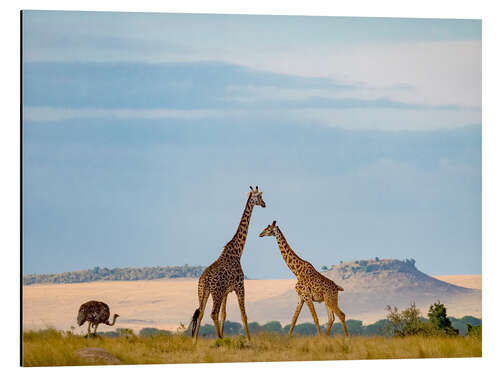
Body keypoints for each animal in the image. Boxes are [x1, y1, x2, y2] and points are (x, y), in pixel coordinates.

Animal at [190, 187, 266, 342]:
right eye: (260, 196)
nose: (264, 204)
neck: (237, 252)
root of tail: (205, 279)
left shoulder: (226, 291)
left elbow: (224, 315)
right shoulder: (240, 286)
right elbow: (244, 315)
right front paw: (250, 341)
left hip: (203, 292)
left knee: (201, 314)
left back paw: (195, 342)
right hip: (216, 293)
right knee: (213, 313)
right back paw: (219, 339)